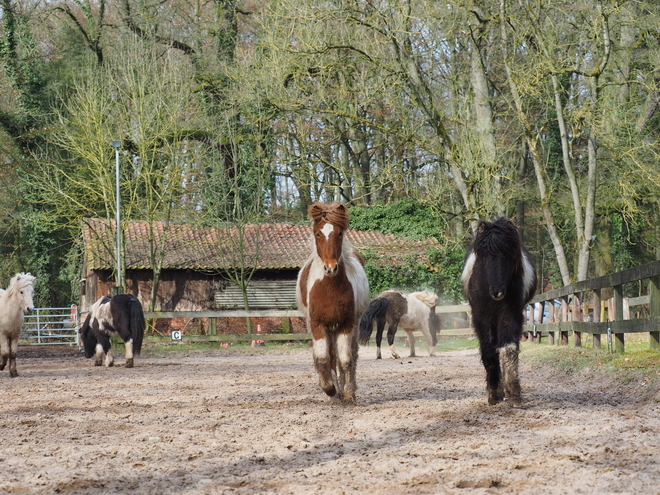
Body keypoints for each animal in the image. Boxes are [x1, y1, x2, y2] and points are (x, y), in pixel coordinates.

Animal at [296, 203, 368, 404]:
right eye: (318, 234)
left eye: (339, 233)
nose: (330, 268)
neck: (329, 289)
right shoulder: (317, 324)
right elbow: (322, 358)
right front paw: (329, 389)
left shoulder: (346, 324)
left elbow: (346, 360)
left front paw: (348, 394)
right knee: (330, 357)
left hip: (351, 325)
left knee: (350, 354)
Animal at [462, 219, 540, 408]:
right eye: (484, 255)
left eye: (508, 255)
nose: (497, 292)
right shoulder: (481, 316)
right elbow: (489, 351)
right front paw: (494, 393)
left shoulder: (511, 313)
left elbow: (509, 349)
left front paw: (513, 393)